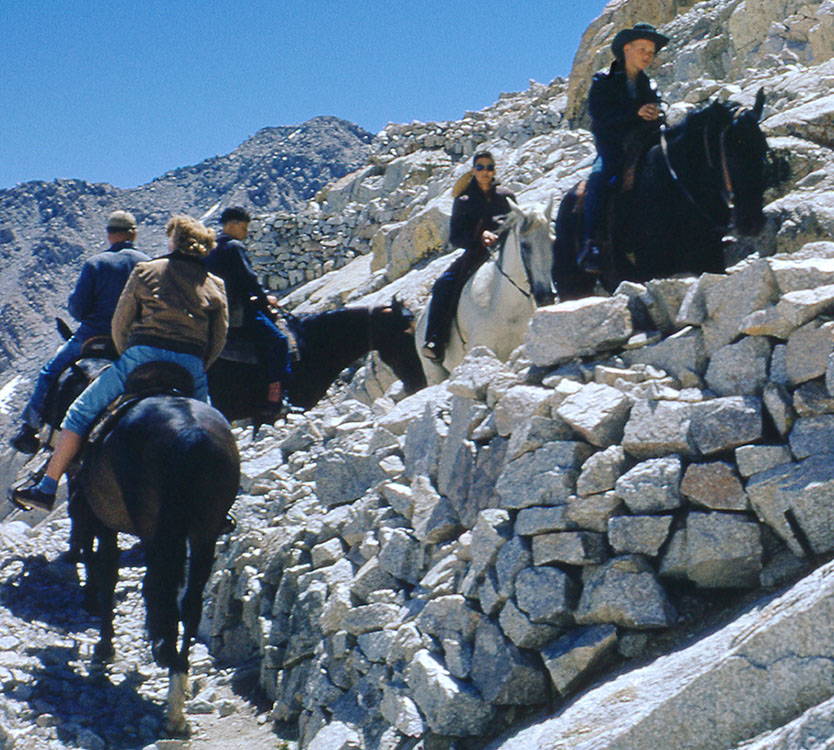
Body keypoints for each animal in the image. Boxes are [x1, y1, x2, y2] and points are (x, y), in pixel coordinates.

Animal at [552, 89, 768, 300]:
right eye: (730, 154)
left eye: (763, 150)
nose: (752, 222)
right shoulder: (652, 269)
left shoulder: (709, 262)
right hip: (573, 284)